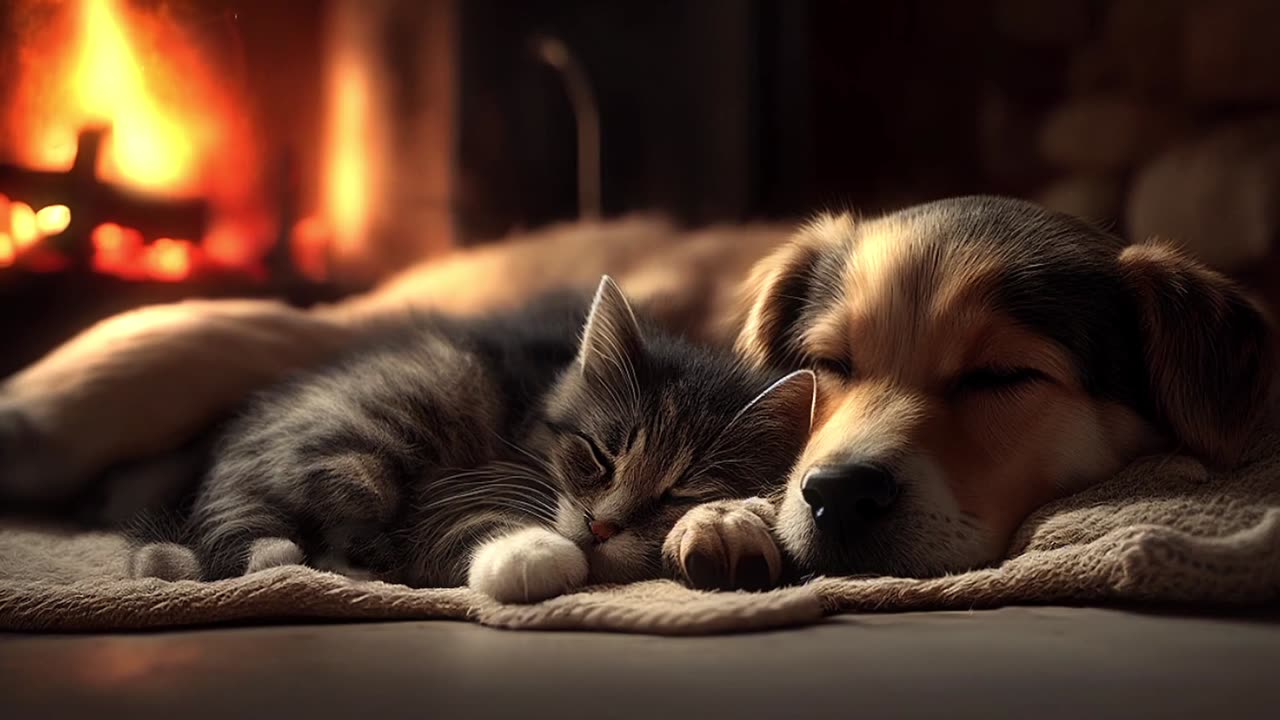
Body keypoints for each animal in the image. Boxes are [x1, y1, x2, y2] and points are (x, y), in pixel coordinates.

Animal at [129, 275, 808, 599]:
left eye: (679, 493)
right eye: (597, 456)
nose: (600, 527)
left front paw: (729, 524)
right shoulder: (451, 488)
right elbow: (463, 523)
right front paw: (534, 553)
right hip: (374, 440)